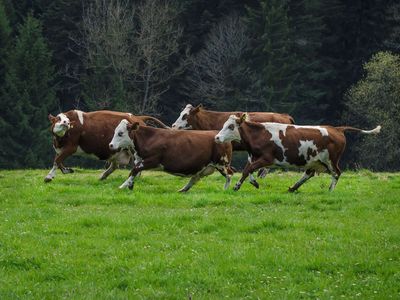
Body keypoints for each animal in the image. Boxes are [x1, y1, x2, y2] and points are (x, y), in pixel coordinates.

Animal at [216, 113, 382, 193]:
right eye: (224, 124)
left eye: (231, 126)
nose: (217, 137)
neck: (259, 134)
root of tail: (337, 129)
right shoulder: (253, 156)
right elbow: (248, 169)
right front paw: (254, 183)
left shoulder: (267, 158)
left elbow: (248, 170)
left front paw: (237, 186)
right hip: (315, 161)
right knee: (309, 173)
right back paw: (293, 188)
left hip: (331, 160)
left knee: (336, 173)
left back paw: (330, 190)